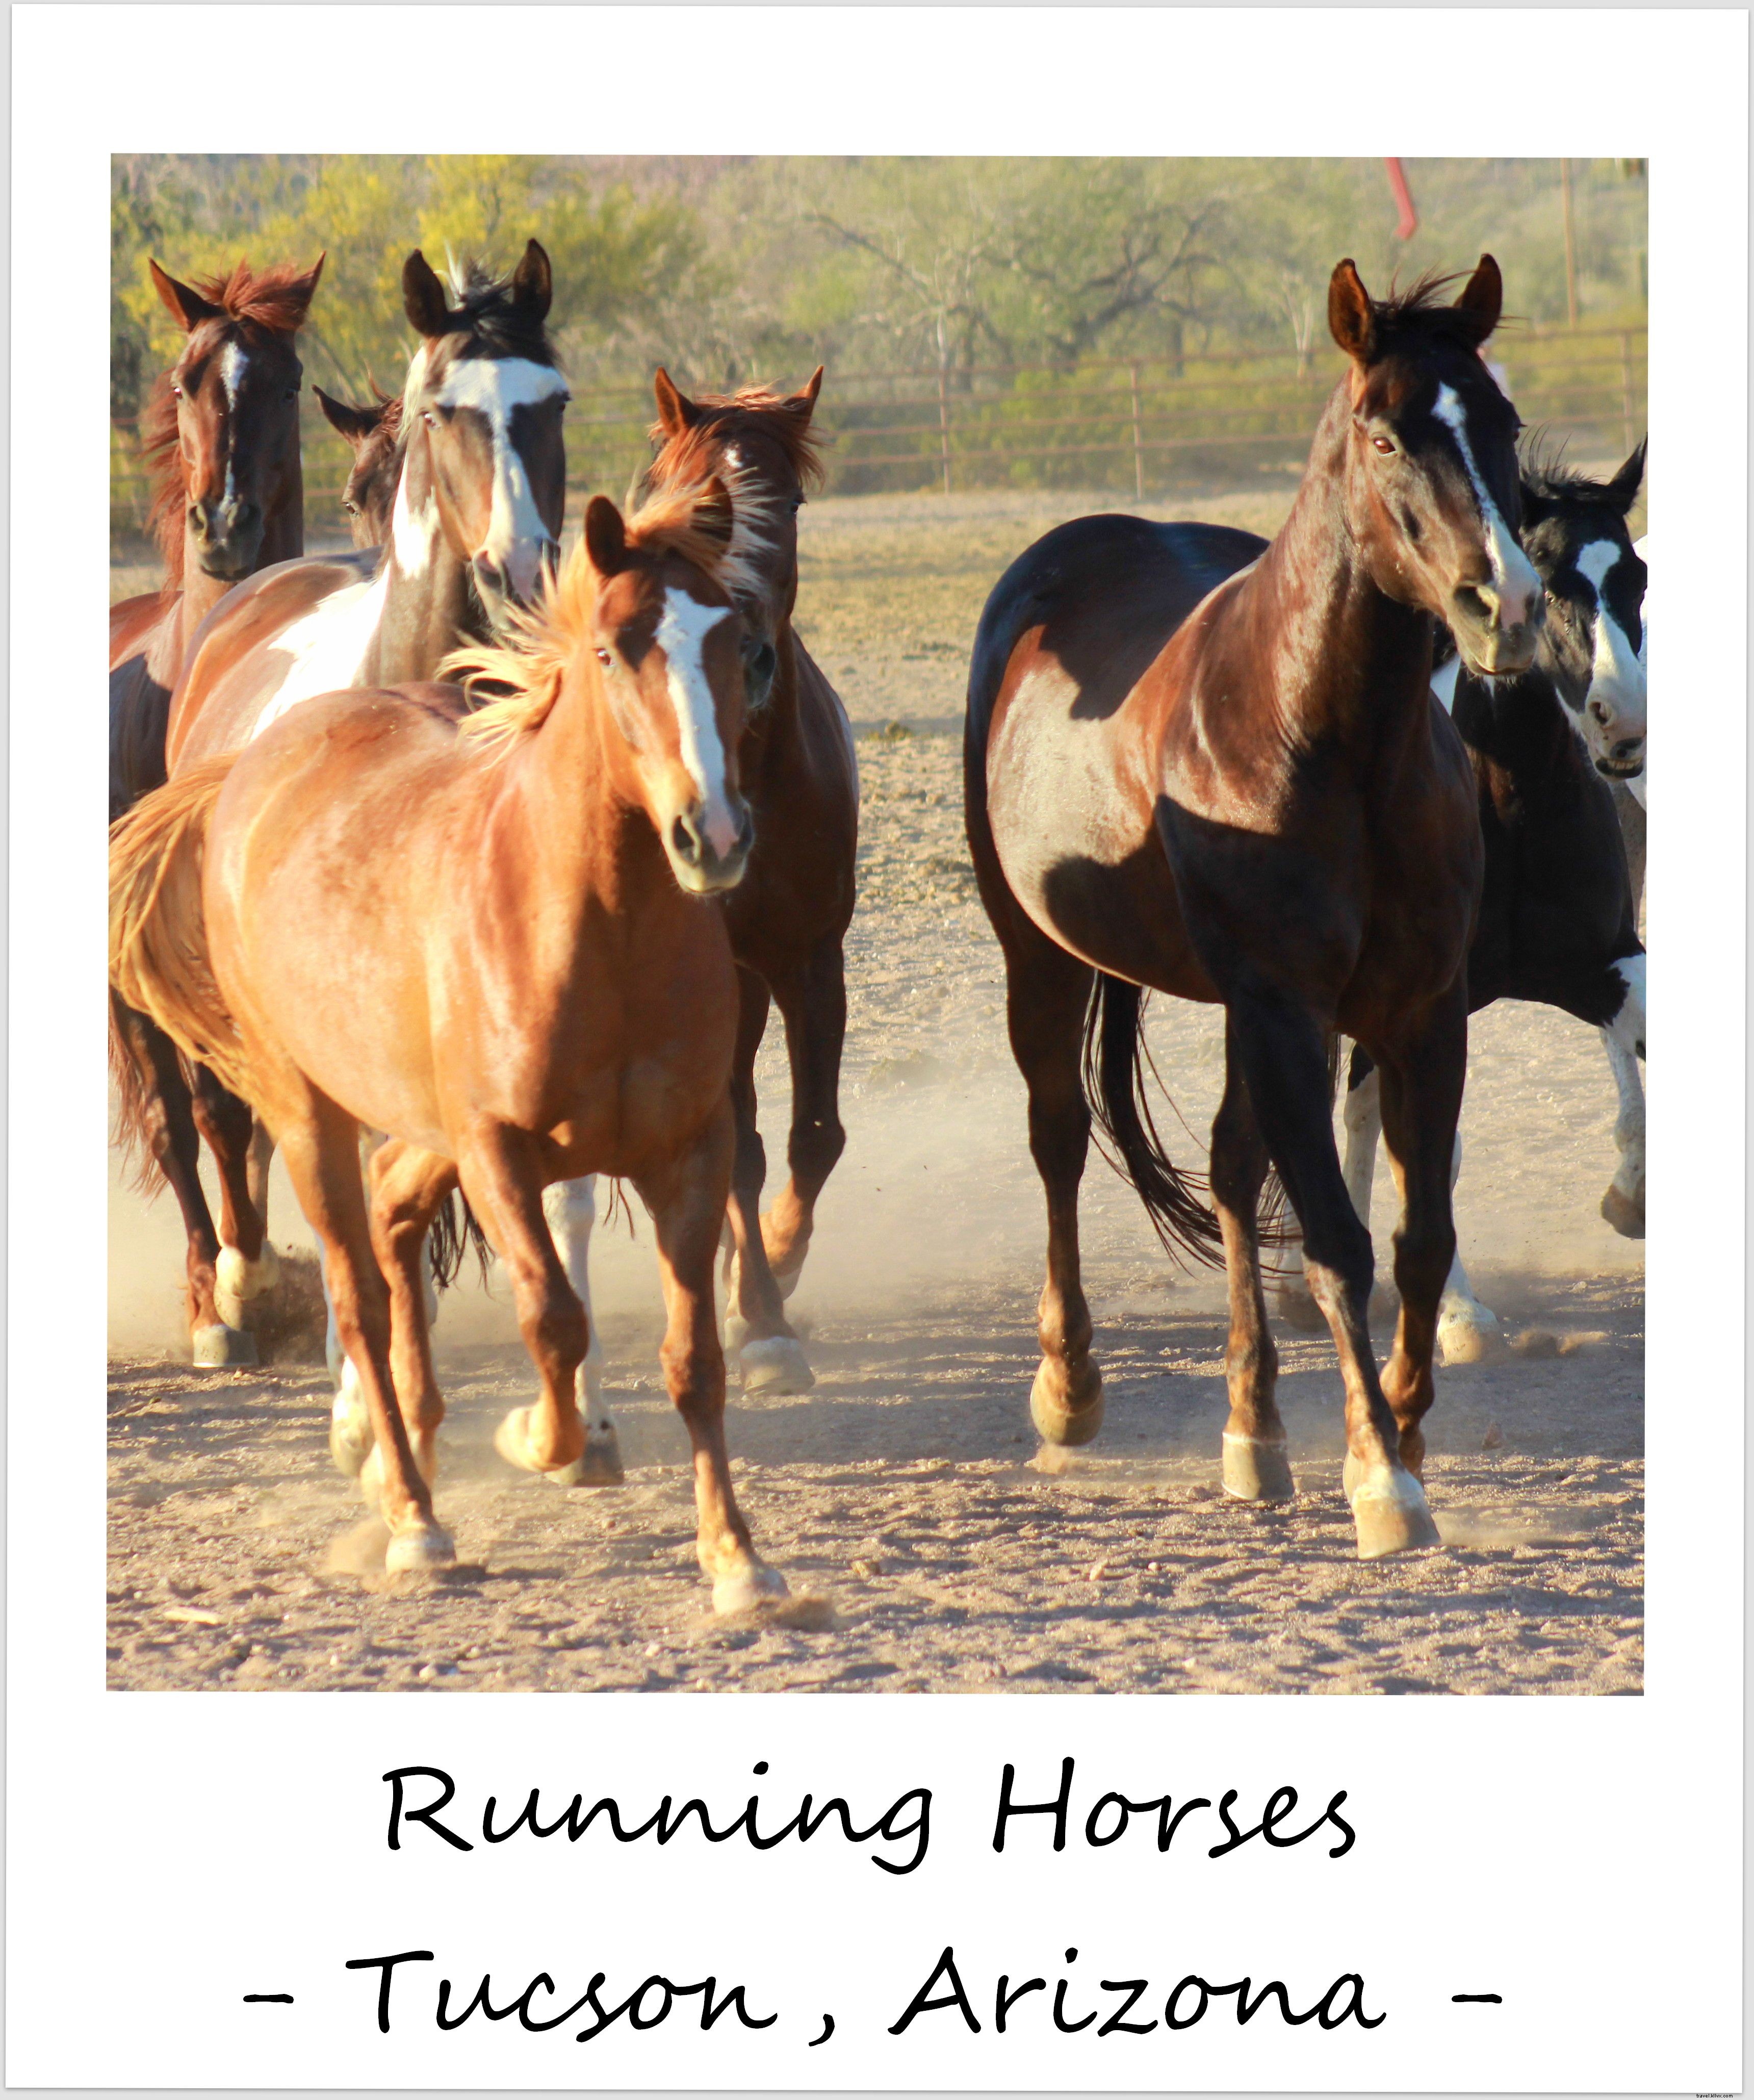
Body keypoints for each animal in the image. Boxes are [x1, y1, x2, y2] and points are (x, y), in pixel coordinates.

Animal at [110, 478, 790, 1611]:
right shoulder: (501, 1152)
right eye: (613, 650)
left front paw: (737, 1559)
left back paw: (416, 1459)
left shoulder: (686, 1153)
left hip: (419, 1122)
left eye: (742, 643)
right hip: (314, 1114)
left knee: (392, 1222)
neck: (596, 926)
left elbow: (695, 1357)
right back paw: (412, 1517)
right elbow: (552, 1319)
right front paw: (537, 1438)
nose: (717, 836)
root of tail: (259, 759)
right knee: (360, 1294)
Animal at [533, 369, 859, 1483]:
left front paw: (781, 1265)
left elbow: (813, 1137)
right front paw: (762, 1323)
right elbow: (748, 1150)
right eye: (672, 486)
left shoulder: (810, 960)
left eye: (787, 500)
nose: (749, 647)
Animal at [965, 257, 1539, 1561]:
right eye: (1382, 434)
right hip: (1042, 959)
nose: (1504, 605)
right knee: (1058, 1141)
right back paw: (1068, 1387)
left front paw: (1403, 1429)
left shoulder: (1418, 1013)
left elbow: (1417, 1241)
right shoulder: (1285, 1007)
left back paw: (1252, 1430)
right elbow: (1330, 1238)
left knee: (1230, 1173)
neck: (1330, 741)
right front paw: (1381, 1478)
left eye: (1503, 423)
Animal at [1293, 446, 1647, 1360]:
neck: (1510, 806)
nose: (1622, 722)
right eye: (1548, 580)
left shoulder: (1604, 960)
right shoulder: (1433, 998)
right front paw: (1458, 1318)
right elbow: (1431, 1148)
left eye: (1634, 577)